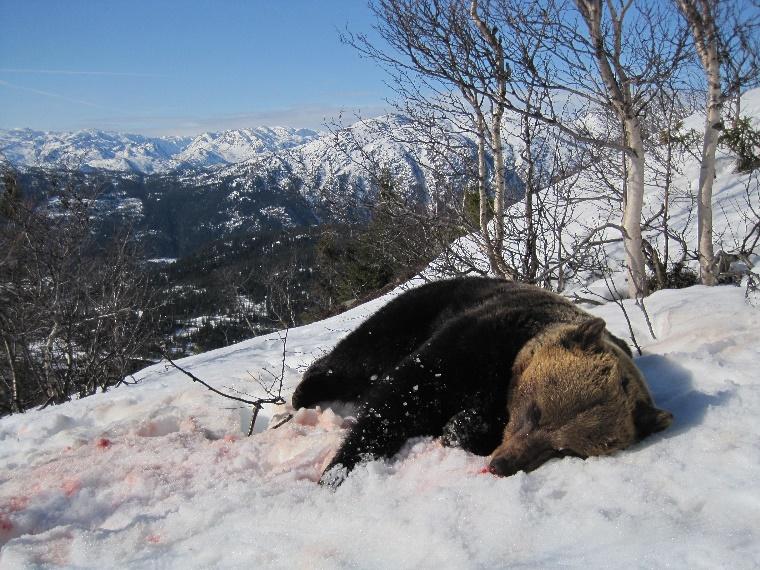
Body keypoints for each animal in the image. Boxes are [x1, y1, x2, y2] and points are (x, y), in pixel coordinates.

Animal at [290, 276, 672, 484]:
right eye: (535, 412)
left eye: (566, 449)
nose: (504, 465)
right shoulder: (481, 341)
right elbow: (405, 396)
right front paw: (340, 470)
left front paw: (461, 427)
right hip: (412, 313)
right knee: (360, 355)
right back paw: (305, 393)